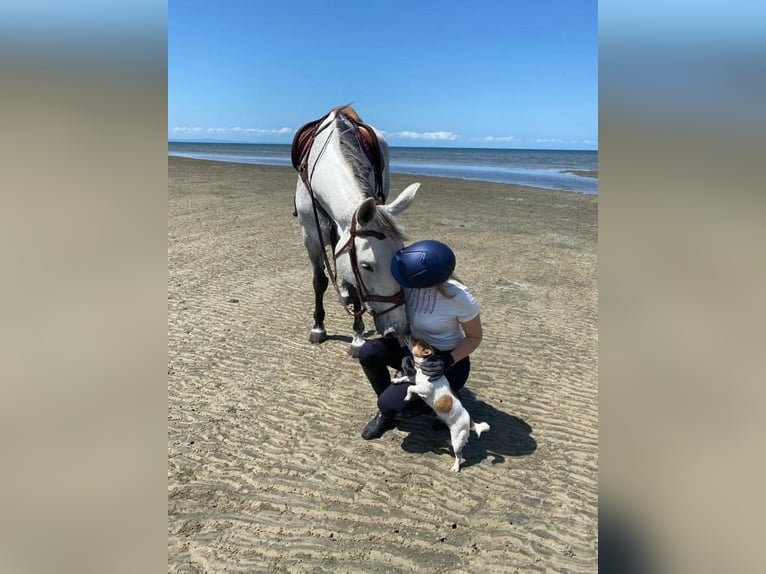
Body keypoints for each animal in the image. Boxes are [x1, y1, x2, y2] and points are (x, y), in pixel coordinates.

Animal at [291, 106, 420, 356]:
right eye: (366, 266)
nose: (400, 328)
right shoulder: (310, 235)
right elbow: (319, 280)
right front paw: (318, 327)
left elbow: (351, 281)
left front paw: (358, 336)